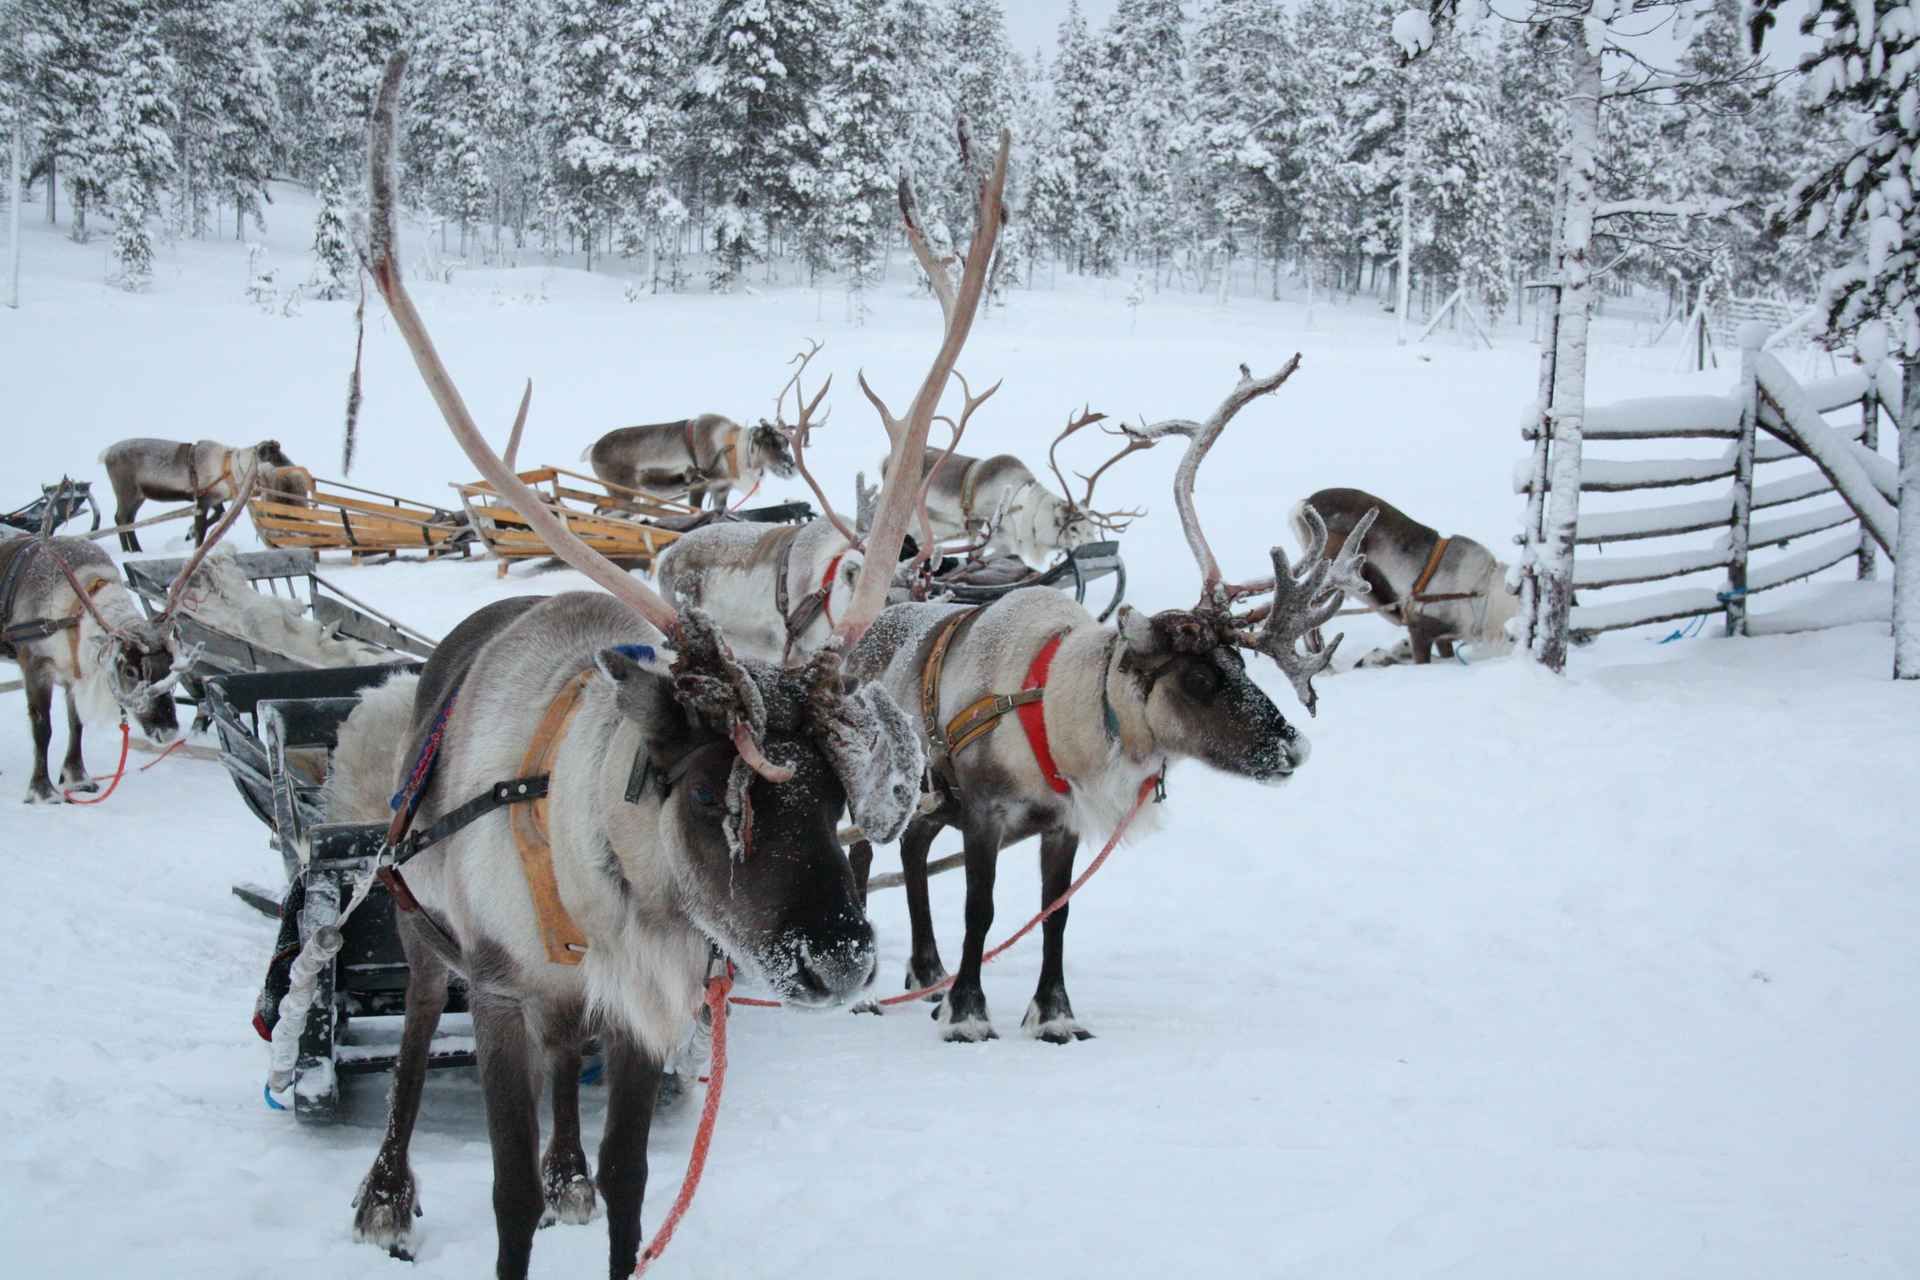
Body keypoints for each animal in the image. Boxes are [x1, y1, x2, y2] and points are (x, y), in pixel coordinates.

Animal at [0, 469, 258, 802]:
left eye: (169, 669)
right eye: (131, 671)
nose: (168, 731)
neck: (74, 613)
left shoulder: (74, 669)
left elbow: (76, 724)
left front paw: (78, 778)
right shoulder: (35, 663)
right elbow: (43, 728)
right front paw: (43, 791)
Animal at [98, 436, 295, 551]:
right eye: (275, 458)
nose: (294, 468)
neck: (231, 471)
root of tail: (106, 453)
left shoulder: (215, 498)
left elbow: (219, 515)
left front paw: (189, 532)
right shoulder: (203, 500)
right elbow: (202, 529)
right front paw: (195, 541)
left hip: (139, 496)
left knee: (128, 519)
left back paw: (135, 549)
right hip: (127, 491)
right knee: (121, 518)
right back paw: (129, 550)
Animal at [580, 413, 797, 512]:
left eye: (786, 442)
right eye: (771, 442)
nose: (792, 468)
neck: (734, 451)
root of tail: (593, 449)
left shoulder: (721, 490)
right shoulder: (698, 487)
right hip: (623, 493)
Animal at [841, 357, 1376, 1044]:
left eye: (1239, 663)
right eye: (1197, 679)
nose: (1294, 748)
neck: (1057, 714)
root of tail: (858, 639)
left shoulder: (1062, 824)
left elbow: (1055, 915)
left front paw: (1055, 1015)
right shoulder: (986, 813)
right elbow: (980, 911)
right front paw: (967, 1014)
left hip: (931, 802)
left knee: (911, 851)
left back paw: (925, 970)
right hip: (879, 790)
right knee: (863, 852)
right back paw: (872, 979)